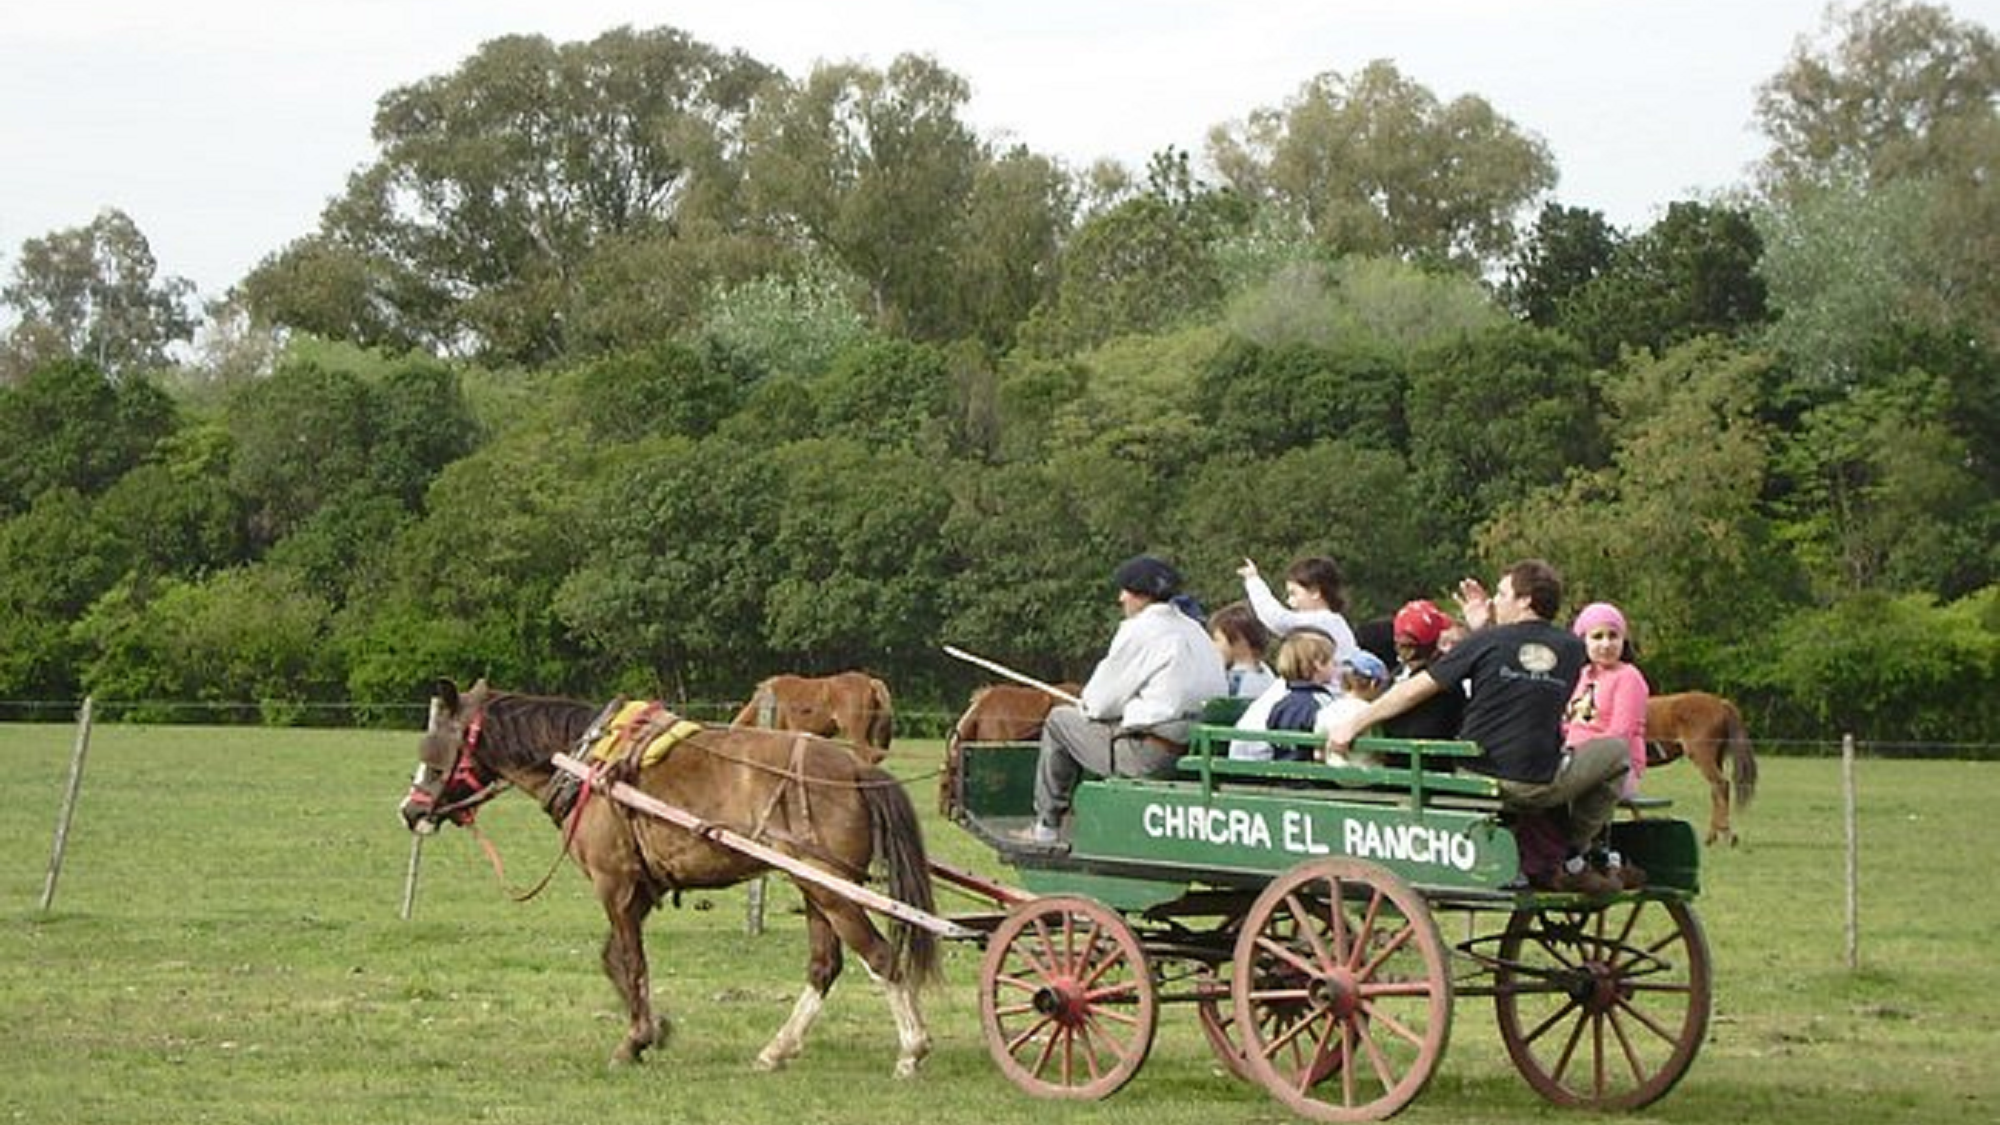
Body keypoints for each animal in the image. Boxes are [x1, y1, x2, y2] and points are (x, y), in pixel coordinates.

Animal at [404, 680, 944, 1072]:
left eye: (434, 751)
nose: (410, 812)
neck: (586, 760)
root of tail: (856, 770)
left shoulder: (615, 884)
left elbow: (632, 963)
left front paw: (634, 1041)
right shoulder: (641, 888)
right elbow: (614, 961)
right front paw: (655, 1030)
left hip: (829, 888)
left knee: (881, 957)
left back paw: (912, 1049)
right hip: (819, 890)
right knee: (823, 966)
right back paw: (777, 1049)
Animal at [1648, 688, 1760, 844]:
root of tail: (1721, 704)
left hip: (1703, 757)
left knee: (1721, 785)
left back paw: (1726, 834)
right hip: (1716, 759)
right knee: (1716, 791)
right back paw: (1712, 836)